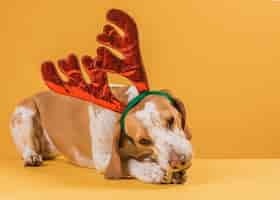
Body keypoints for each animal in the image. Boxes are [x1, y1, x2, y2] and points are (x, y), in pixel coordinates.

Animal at [9, 83, 192, 184]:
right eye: (144, 141)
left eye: (171, 120)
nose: (179, 161)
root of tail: (35, 94)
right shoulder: (103, 158)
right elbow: (126, 162)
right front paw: (151, 171)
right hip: (25, 113)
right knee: (28, 147)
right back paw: (31, 156)